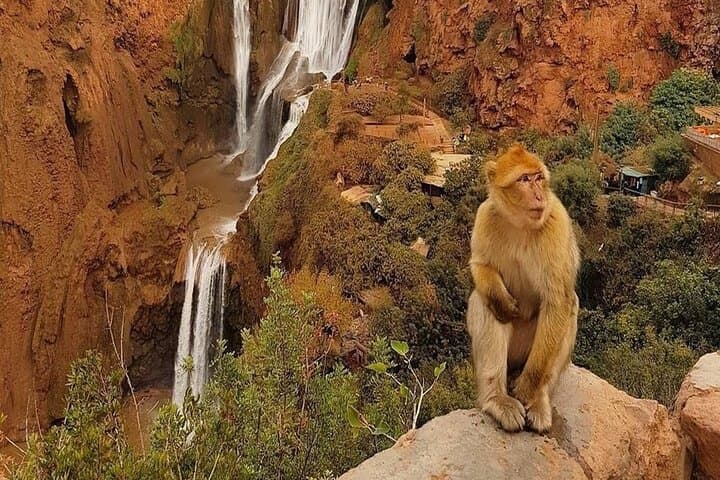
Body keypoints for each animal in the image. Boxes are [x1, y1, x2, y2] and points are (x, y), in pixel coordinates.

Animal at [467, 144, 580, 434]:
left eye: (539, 177)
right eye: (524, 179)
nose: (539, 195)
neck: (520, 224)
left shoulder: (557, 222)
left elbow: (558, 300)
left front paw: (528, 388)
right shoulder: (485, 216)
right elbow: (480, 265)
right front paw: (502, 300)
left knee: (570, 305)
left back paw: (538, 397)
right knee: (484, 303)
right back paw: (497, 399)